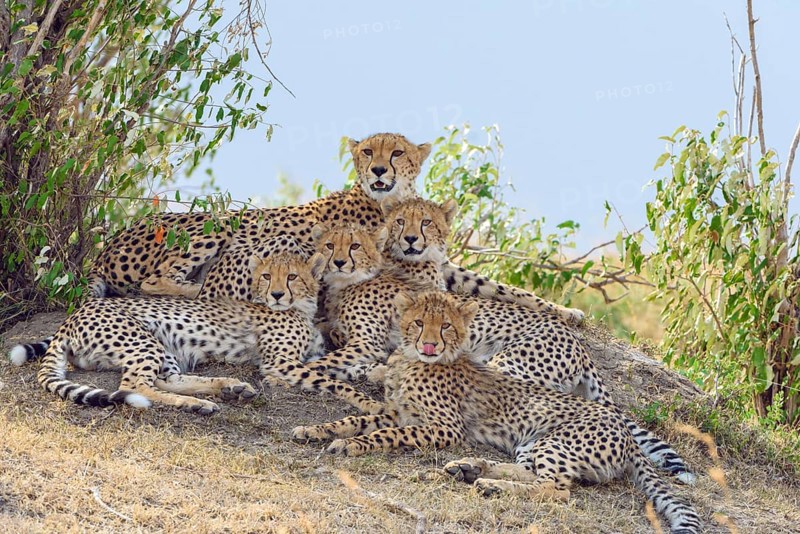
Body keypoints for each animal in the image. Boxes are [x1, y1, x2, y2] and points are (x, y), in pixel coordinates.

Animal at [9, 251, 384, 415]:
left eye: (292, 276)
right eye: (266, 277)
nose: (277, 294)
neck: (299, 309)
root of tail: (70, 319)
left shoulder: (311, 356)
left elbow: (346, 367)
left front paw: (374, 373)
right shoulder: (280, 364)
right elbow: (332, 379)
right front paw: (369, 404)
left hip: (165, 348)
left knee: (165, 380)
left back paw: (225, 390)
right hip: (144, 341)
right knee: (135, 386)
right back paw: (196, 402)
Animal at [292, 291, 702, 534]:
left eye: (446, 326)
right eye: (418, 323)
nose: (429, 345)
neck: (409, 360)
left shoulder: (444, 427)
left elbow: (383, 435)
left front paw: (350, 445)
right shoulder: (397, 412)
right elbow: (356, 421)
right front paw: (317, 432)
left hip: (549, 430)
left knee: (556, 490)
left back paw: (490, 484)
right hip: (533, 440)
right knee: (533, 473)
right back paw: (472, 469)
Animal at [306, 196, 695, 483]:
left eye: (426, 222)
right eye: (401, 221)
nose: (411, 239)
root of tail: (581, 350)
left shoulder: (384, 335)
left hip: (509, 367)